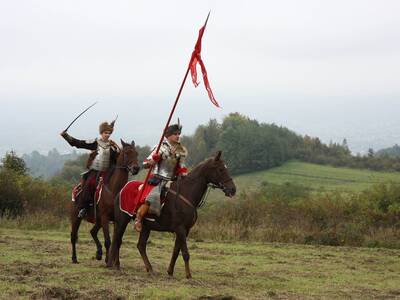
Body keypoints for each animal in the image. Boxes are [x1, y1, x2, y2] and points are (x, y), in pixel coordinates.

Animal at [108, 150, 236, 278]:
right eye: (220, 169)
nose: (232, 189)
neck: (186, 192)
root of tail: (122, 189)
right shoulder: (180, 229)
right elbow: (185, 253)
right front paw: (188, 275)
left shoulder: (185, 230)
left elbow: (176, 251)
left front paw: (170, 272)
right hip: (122, 220)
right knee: (118, 240)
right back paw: (117, 265)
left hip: (146, 227)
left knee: (140, 245)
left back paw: (149, 269)